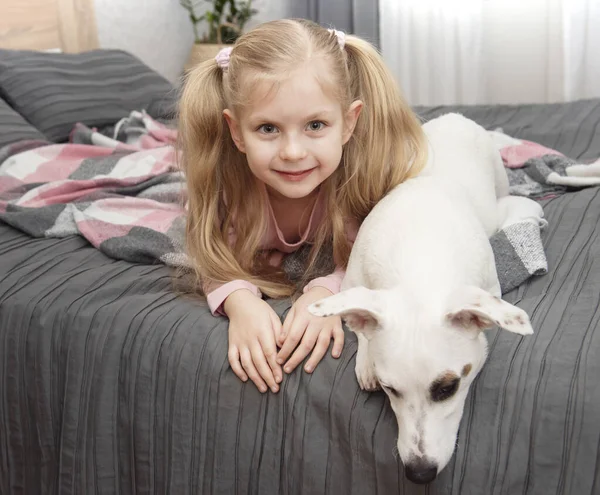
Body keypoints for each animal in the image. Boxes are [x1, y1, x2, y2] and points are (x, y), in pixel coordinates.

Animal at [310, 113, 540, 484]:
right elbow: (359, 320)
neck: (420, 259)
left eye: (448, 388)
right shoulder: (353, 281)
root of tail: (454, 117)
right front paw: (366, 359)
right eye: (389, 389)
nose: (419, 474)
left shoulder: (488, 289)